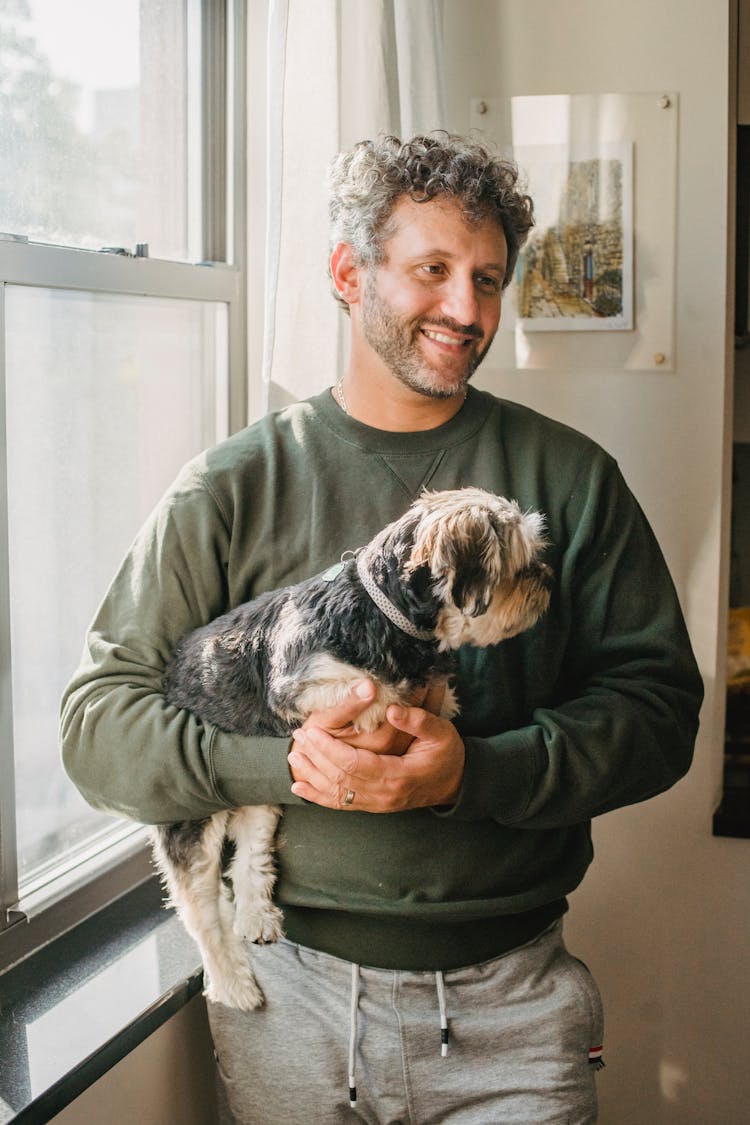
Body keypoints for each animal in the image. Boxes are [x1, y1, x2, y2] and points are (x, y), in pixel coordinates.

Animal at [152, 486, 550, 1012]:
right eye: (518, 561)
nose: (547, 579)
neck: (382, 615)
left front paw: (440, 695)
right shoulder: (301, 688)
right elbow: (374, 692)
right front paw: (394, 697)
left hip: (256, 799)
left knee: (250, 854)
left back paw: (256, 918)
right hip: (188, 819)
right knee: (200, 911)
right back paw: (233, 985)